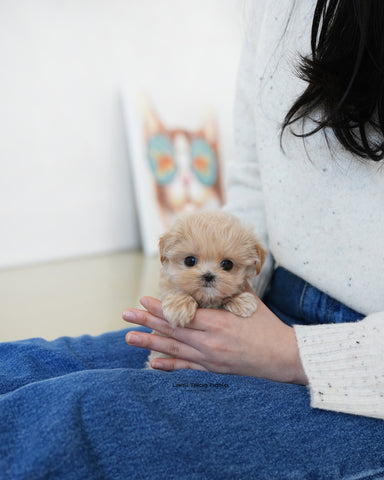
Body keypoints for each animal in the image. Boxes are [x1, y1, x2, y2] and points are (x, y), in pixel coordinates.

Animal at [146, 210, 266, 368]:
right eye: (190, 261)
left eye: (227, 264)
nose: (208, 276)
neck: (206, 299)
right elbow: (174, 290)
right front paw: (179, 307)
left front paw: (242, 301)